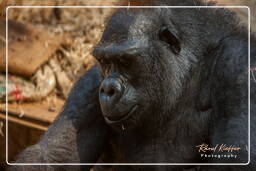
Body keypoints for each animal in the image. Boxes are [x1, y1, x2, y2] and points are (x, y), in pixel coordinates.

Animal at [7, 0, 255, 171]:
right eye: (105, 61)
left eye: (126, 61)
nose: (108, 89)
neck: (187, 75)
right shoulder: (89, 86)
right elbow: (52, 156)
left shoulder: (237, 66)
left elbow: (238, 157)